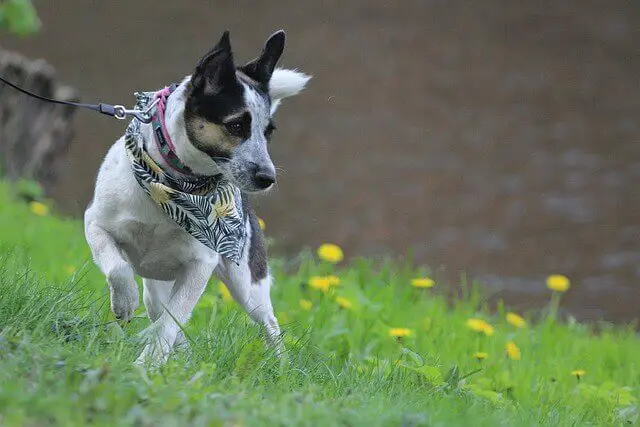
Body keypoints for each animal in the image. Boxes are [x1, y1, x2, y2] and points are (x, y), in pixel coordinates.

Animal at [84, 30, 310, 366]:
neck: (173, 186)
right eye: (235, 125)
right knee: (158, 308)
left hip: (247, 283)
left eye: (268, 132)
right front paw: (124, 303)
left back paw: (281, 367)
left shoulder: (200, 265)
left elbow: (172, 321)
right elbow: (119, 269)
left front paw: (146, 365)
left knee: (267, 322)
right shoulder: (96, 225)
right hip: (156, 287)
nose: (268, 178)